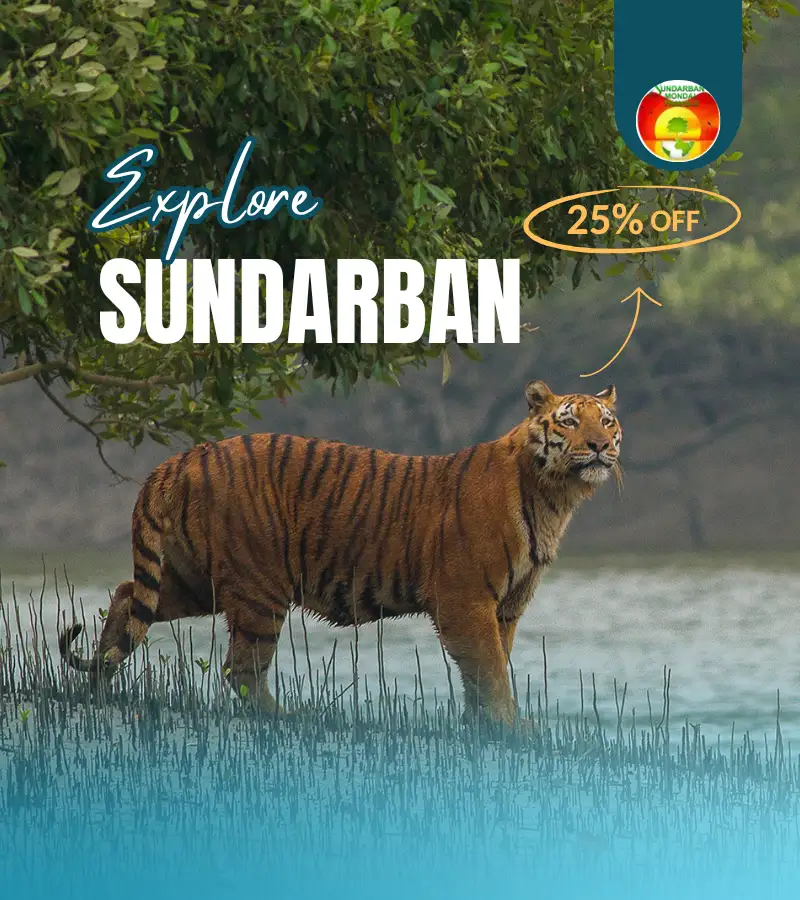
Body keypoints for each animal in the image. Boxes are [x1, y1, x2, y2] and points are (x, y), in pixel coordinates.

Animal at [59, 379, 622, 729]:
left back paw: (100, 684)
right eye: (569, 423)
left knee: (127, 595)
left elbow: (487, 670)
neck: (554, 496)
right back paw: (286, 719)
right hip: (259, 588)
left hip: (196, 580)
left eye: (608, 421)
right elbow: (490, 671)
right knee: (241, 670)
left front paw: (481, 728)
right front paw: (510, 730)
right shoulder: (466, 601)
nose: (599, 446)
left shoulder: (506, 606)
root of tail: (180, 458)